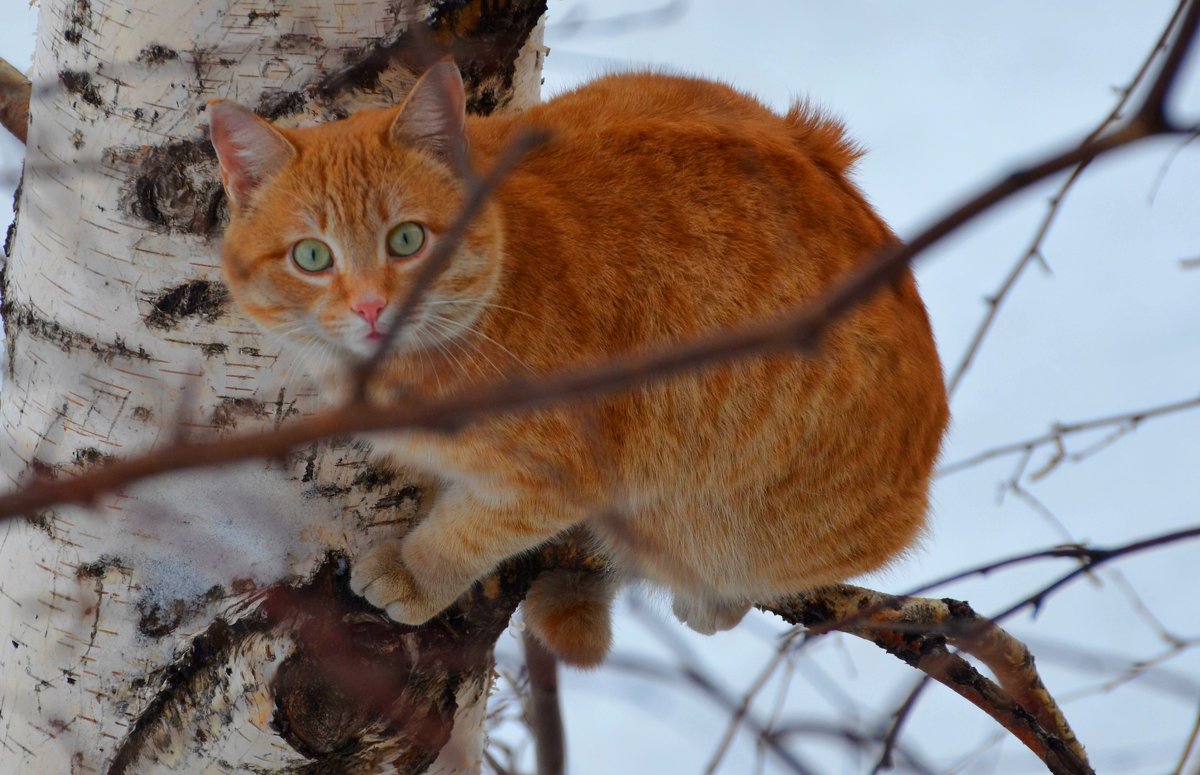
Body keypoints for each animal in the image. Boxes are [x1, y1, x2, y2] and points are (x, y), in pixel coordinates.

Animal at [211, 62, 950, 667]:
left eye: (408, 240)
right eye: (312, 256)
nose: (370, 307)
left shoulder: (561, 475)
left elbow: (469, 531)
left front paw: (418, 571)